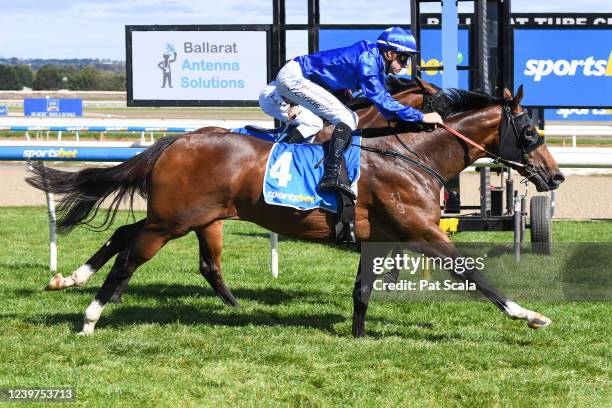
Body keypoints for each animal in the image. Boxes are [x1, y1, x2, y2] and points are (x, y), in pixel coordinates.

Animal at [27, 85, 564, 334]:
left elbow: (363, 290)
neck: (412, 155)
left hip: (183, 216)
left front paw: (358, 336)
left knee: (128, 237)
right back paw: (90, 316)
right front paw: (529, 315)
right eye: (530, 133)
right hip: (173, 221)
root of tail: (176, 141)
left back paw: (70, 279)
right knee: (128, 258)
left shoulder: (375, 238)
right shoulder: (423, 232)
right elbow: (475, 274)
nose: (556, 176)